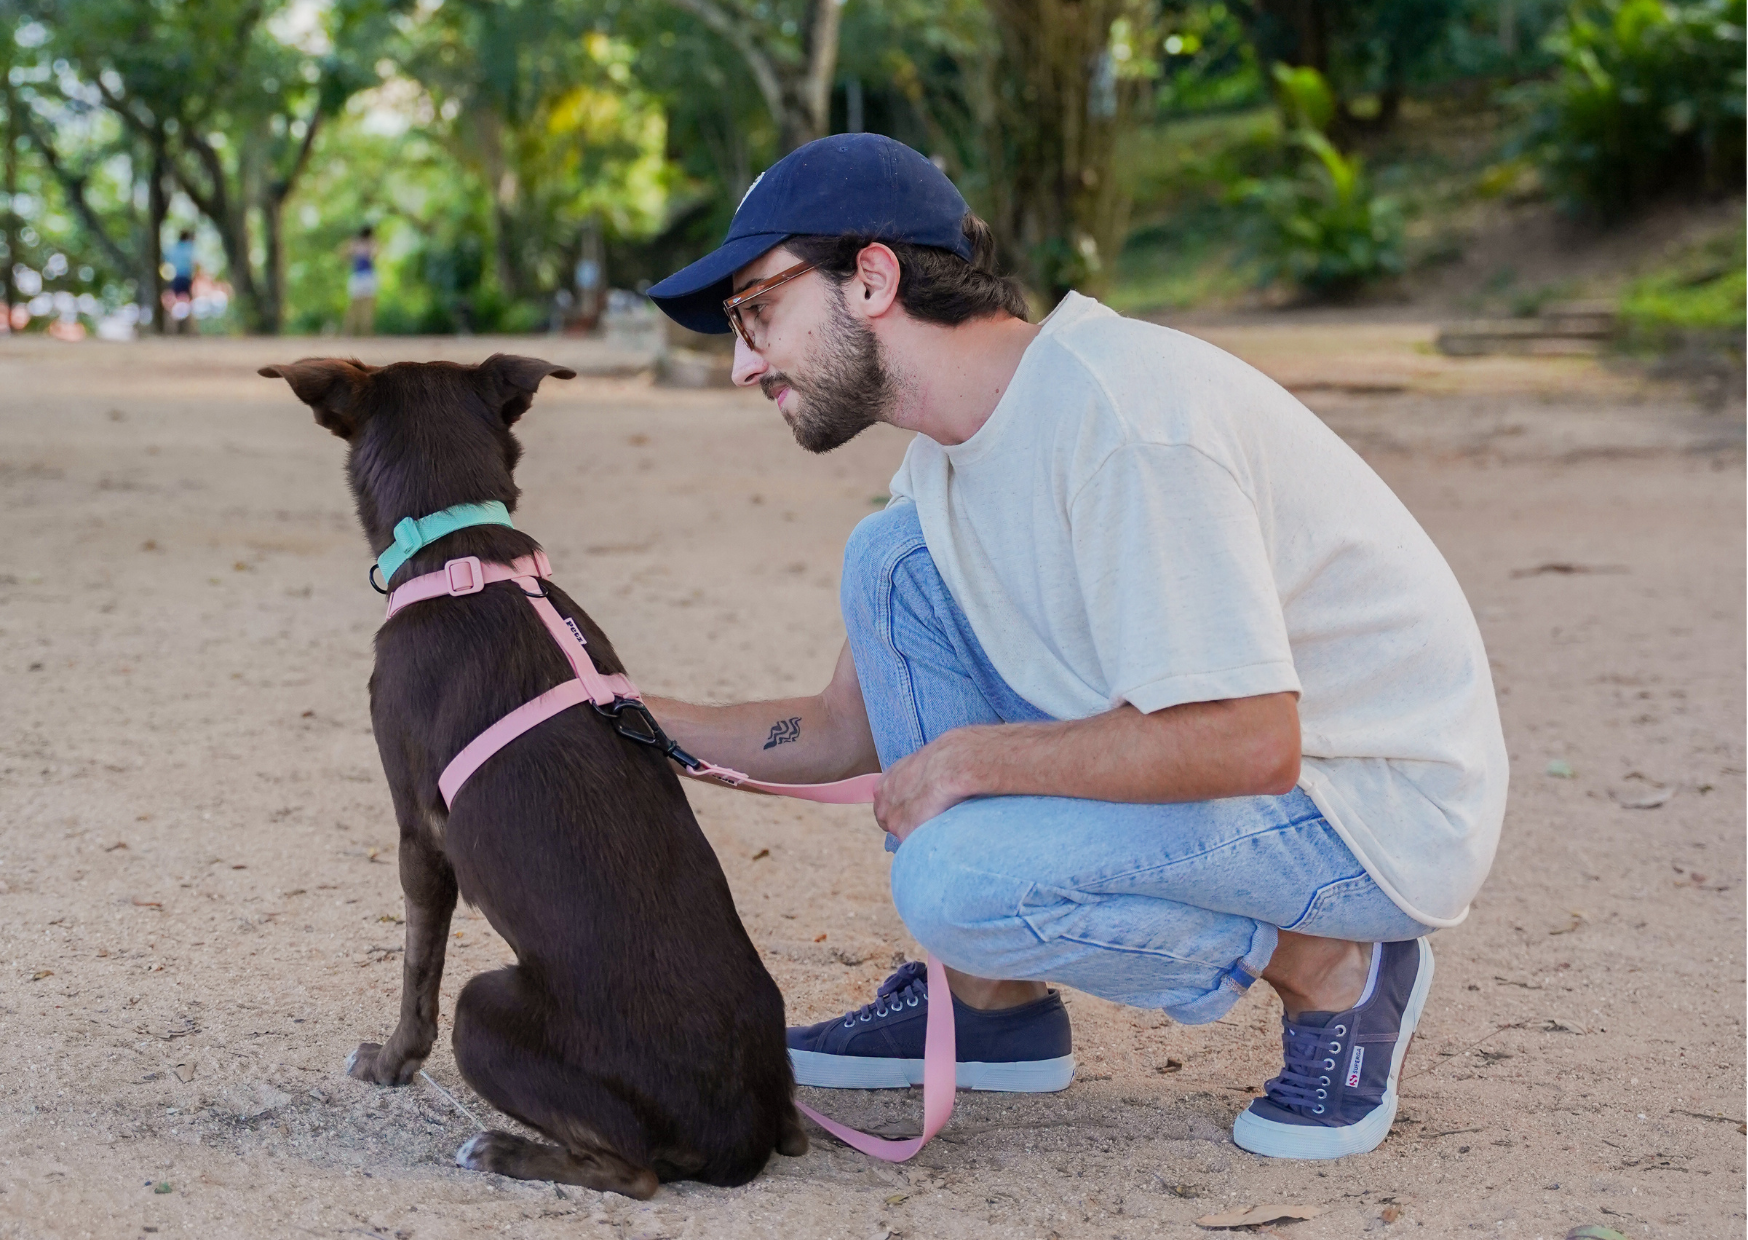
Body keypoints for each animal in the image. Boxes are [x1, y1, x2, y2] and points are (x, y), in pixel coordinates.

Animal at [262, 353, 807, 1196]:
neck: (464, 553)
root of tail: (741, 1136)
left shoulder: (420, 837)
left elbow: (417, 971)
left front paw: (390, 1064)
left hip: (485, 1006)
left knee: (636, 1172)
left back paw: (502, 1150)